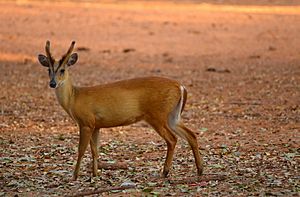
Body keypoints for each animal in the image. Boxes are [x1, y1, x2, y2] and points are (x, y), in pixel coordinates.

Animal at [36, 40, 203, 181]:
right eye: (48, 70)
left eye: (62, 70)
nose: (52, 83)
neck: (74, 97)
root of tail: (181, 87)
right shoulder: (96, 125)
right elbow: (95, 150)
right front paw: (95, 174)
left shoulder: (86, 122)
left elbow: (81, 150)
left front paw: (74, 176)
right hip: (173, 115)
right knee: (191, 135)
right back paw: (200, 170)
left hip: (157, 115)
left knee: (172, 139)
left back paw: (165, 172)